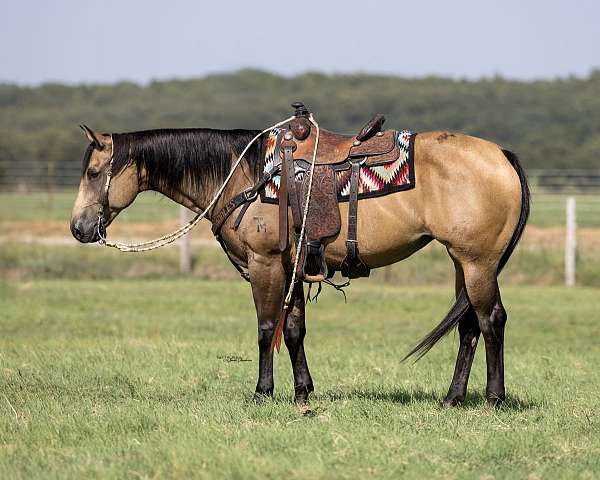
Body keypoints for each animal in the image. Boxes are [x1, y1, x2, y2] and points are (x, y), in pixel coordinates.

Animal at [71, 104, 528, 404]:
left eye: (93, 172)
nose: (78, 228)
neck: (246, 174)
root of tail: (501, 155)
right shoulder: (292, 265)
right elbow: (292, 331)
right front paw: (302, 392)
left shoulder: (265, 263)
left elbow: (265, 328)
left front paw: (262, 392)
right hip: (462, 262)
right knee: (468, 325)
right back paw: (452, 398)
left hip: (478, 262)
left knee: (492, 320)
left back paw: (493, 398)